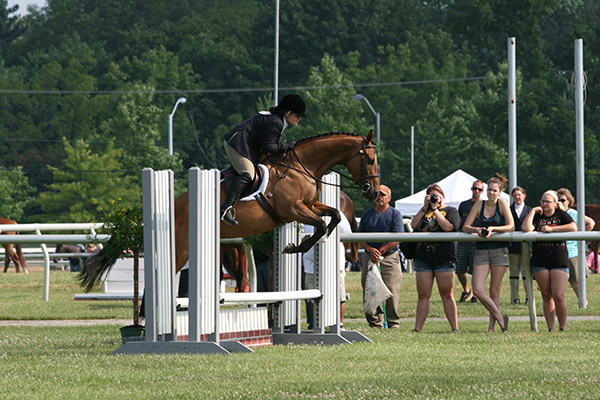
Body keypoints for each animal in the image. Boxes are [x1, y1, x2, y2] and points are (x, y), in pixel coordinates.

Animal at [78, 131, 380, 290]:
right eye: (371, 159)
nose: (374, 192)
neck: (300, 166)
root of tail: (169, 208)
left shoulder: (309, 205)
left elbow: (333, 216)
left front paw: (309, 242)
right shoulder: (293, 209)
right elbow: (319, 223)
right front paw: (296, 246)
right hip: (181, 249)